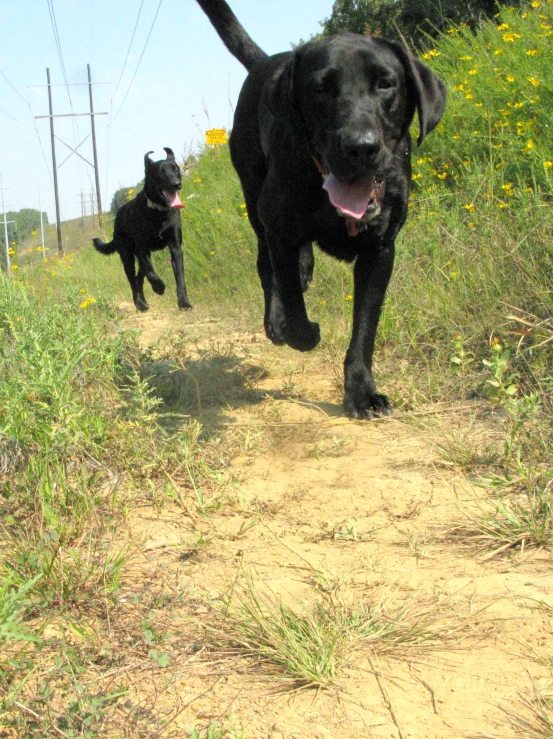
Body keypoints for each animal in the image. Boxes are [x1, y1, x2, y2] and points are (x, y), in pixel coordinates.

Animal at [92, 147, 192, 312]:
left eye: (176, 170)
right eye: (161, 173)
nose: (176, 184)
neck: (158, 212)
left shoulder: (175, 247)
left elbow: (180, 278)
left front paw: (184, 302)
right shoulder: (142, 249)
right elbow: (150, 272)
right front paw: (159, 287)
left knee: (139, 278)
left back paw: (143, 300)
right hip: (127, 257)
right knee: (134, 280)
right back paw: (140, 304)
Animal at [196, 0, 446, 416]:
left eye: (386, 83)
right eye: (320, 88)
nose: (361, 146)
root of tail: (267, 61)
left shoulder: (380, 250)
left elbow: (364, 329)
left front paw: (361, 392)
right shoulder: (279, 230)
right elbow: (293, 306)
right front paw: (298, 329)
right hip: (254, 199)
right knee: (265, 266)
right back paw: (276, 318)